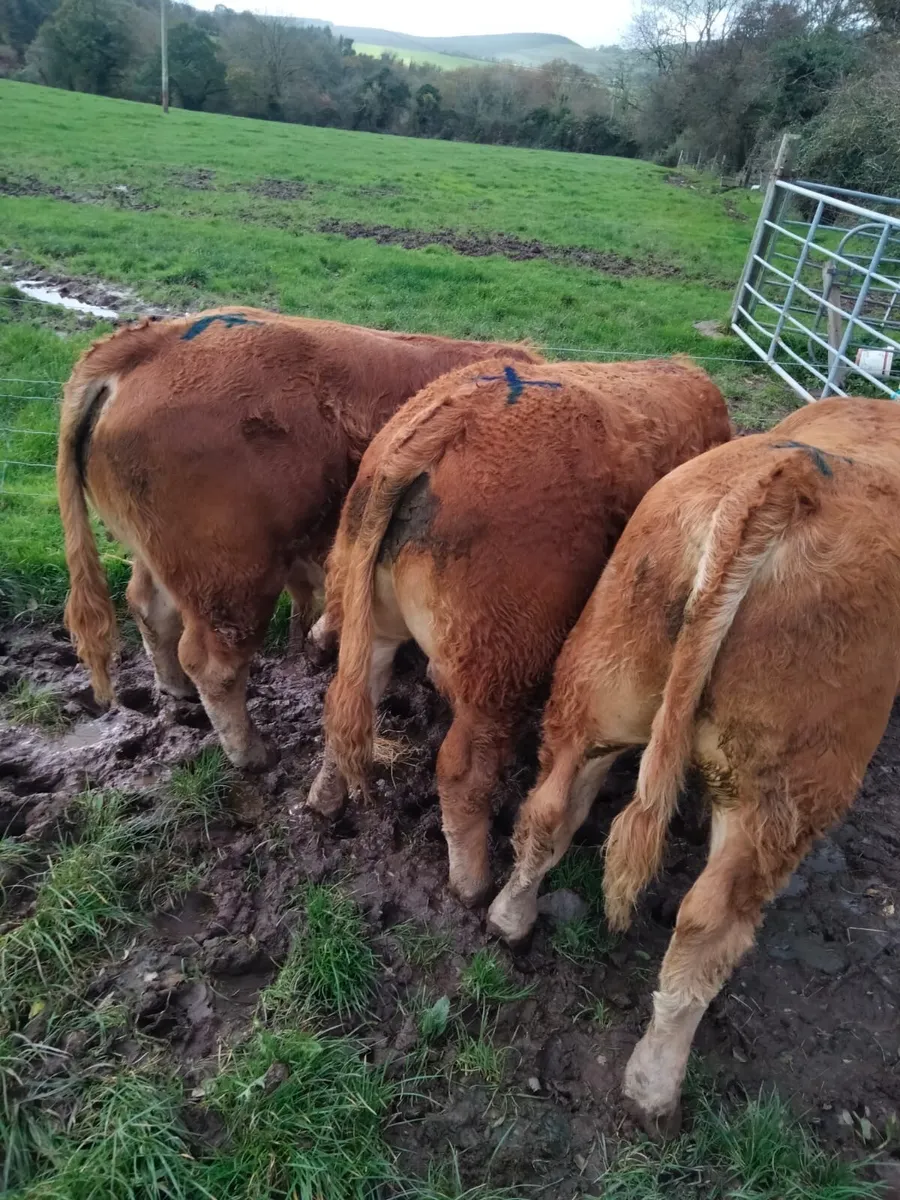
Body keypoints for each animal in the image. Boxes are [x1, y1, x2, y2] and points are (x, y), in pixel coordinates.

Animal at [57, 307, 541, 768]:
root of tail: (158, 339)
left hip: (162, 559)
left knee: (148, 608)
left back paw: (177, 691)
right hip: (234, 577)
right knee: (213, 662)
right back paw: (252, 753)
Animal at [305, 356, 730, 905]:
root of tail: (452, 418)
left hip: (373, 626)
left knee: (345, 705)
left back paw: (324, 799)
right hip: (500, 667)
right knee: (463, 773)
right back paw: (473, 884)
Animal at [487, 397, 900, 1137]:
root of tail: (787, 482)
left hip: (599, 686)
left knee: (549, 811)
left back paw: (510, 917)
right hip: (786, 794)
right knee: (710, 924)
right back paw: (654, 1085)